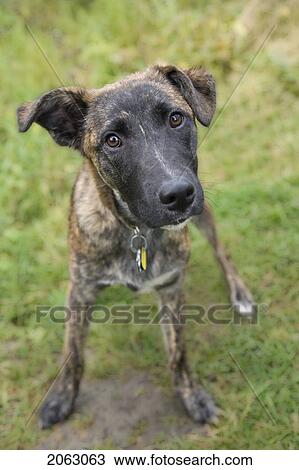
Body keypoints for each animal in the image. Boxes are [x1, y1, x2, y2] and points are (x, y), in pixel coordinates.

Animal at [17, 64, 254, 428]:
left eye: (176, 119)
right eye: (112, 140)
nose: (179, 194)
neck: (136, 231)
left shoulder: (171, 286)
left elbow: (178, 353)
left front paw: (191, 396)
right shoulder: (80, 290)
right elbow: (74, 353)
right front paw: (61, 398)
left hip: (204, 211)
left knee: (221, 250)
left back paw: (240, 293)